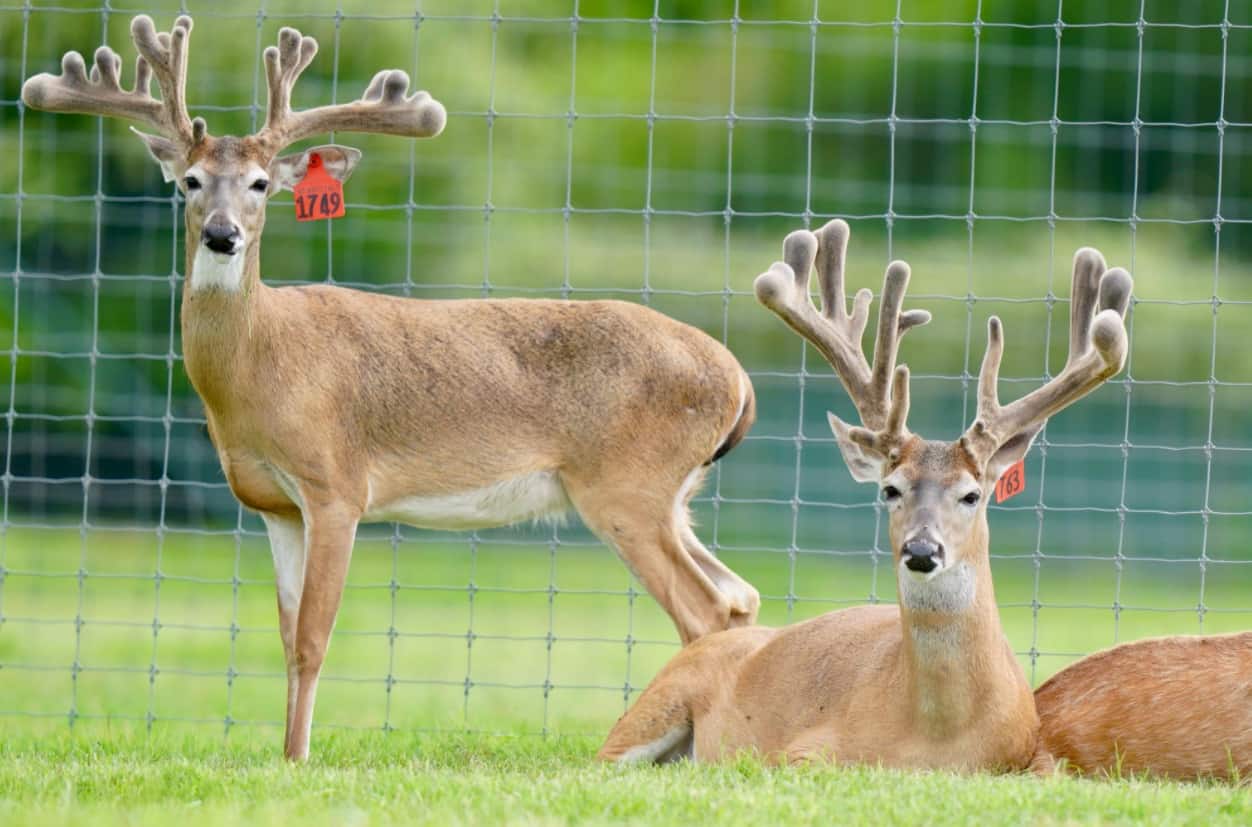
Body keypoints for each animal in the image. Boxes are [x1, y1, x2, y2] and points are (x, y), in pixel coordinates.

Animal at [22, 15, 761, 760]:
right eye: (192, 181)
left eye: (260, 184)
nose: (222, 235)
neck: (260, 367)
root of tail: (738, 379)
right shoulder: (273, 505)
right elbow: (285, 637)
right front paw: (284, 752)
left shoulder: (336, 485)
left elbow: (314, 638)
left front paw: (298, 759)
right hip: (671, 497)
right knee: (738, 596)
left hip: (626, 486)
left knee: (703, 609)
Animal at [597, 219, 1133, 770]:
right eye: (890, 490)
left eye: (972, 495)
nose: (921, 550)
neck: (936, 738)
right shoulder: (801, 750)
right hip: (654, 705)